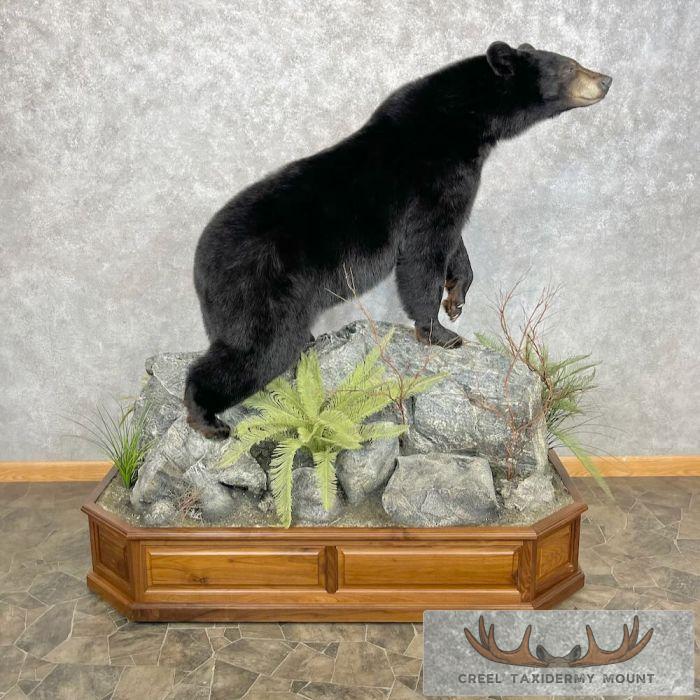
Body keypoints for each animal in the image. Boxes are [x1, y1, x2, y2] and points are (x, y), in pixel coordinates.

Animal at [184, 41, 611, 439]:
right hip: (262, 290)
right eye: (570, 65)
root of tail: (200, 269)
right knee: (258, 351)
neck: (465, 122)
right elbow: (424, 252)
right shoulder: (435, 180)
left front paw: (456, 297)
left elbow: (454, 242)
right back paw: (205, 416)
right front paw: (440, 332)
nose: (606, 79)